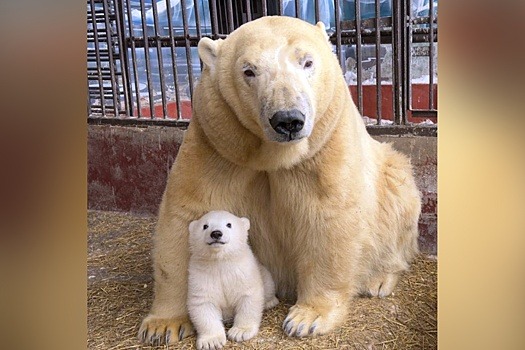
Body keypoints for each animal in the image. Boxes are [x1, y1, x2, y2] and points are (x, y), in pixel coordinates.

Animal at [137, 15, 420, 344]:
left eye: (307, 62)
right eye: (249, 70)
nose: (288, 120)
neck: (273, 155)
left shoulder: (324, 143)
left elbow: (328, 216)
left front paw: (306, 318)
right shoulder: (217, 142)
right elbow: (184, 215)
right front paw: (162, 325)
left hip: (391, 179)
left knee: (398, 196)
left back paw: (378, 279)